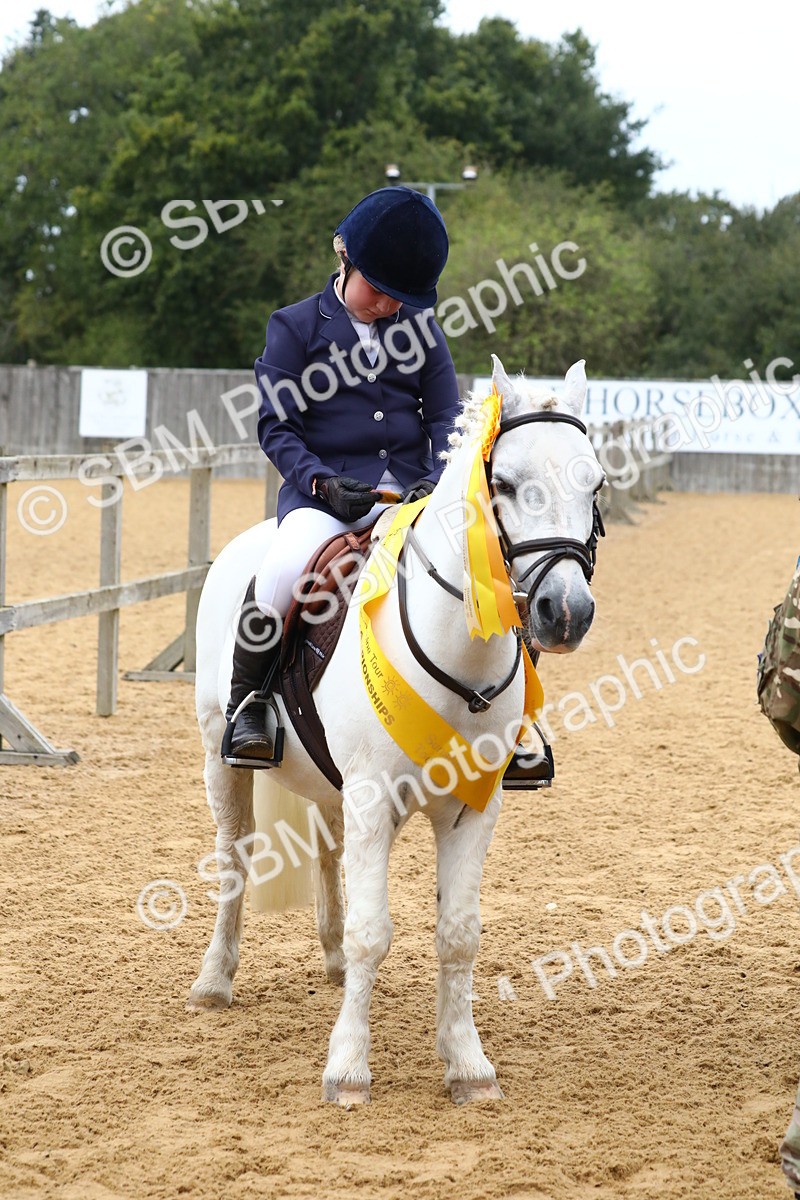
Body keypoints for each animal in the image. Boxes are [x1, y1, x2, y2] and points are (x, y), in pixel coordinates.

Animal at [187, 354, 604, 1106]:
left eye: (596, 483)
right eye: (504, 482)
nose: (566, 613)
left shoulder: (472, 806)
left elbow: (458, 934)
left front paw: (467, 1064)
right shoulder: (372, 797)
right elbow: (372, 932)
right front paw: (348, 1068)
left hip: (332, 785)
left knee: (327, 853)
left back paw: (327, 963)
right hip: (222, 760)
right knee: (234, 856)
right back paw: (214, 980)